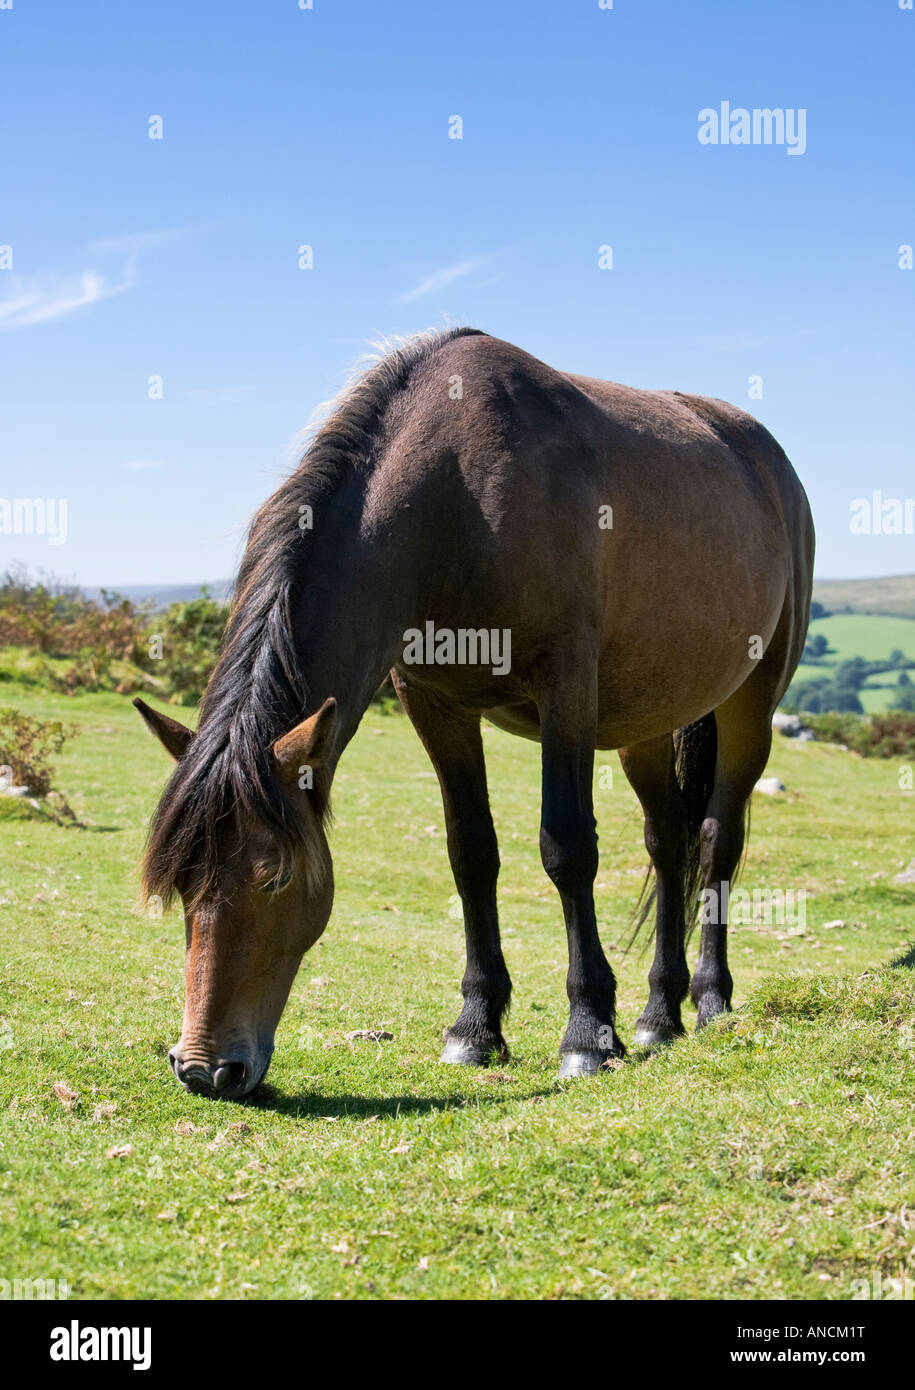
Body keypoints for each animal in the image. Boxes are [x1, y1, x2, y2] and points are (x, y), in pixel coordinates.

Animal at [136, 327, 814, 1099]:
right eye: (180, 881)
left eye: (273, 876)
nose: (204, 1068)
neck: (458, 499)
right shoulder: (434, 703)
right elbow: (470, 854)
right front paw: (476, 1026)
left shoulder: (565, 689)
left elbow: (567, 848)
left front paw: (587, 1033)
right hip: (644, 722)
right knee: (668, 842)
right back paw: (657, 1015)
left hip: (750, 704)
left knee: (714, 842)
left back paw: (709, 1000)